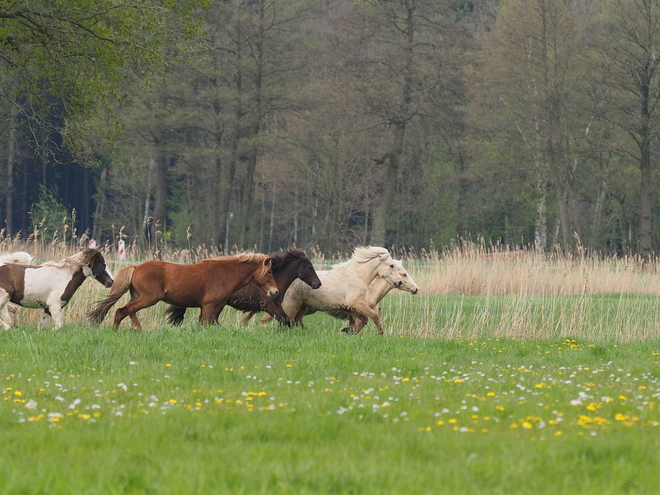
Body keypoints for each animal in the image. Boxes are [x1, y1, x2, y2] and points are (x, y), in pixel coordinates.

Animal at [89, 252, 278, 330]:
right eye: (269, 272)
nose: (275, 292)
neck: (224, 273)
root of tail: (136, 267)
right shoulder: (209, 306)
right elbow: (205, 324)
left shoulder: (214, 307)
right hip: (149, 298)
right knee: (127, 310)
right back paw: (136, 329)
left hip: (138, 296)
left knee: (123, 311)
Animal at [164, 247, 320, 326]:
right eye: (309, 267)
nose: (318, 284)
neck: (275, 279)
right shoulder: (269, 306)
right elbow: (285, 320)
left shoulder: (276, 305)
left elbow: (288, 321)